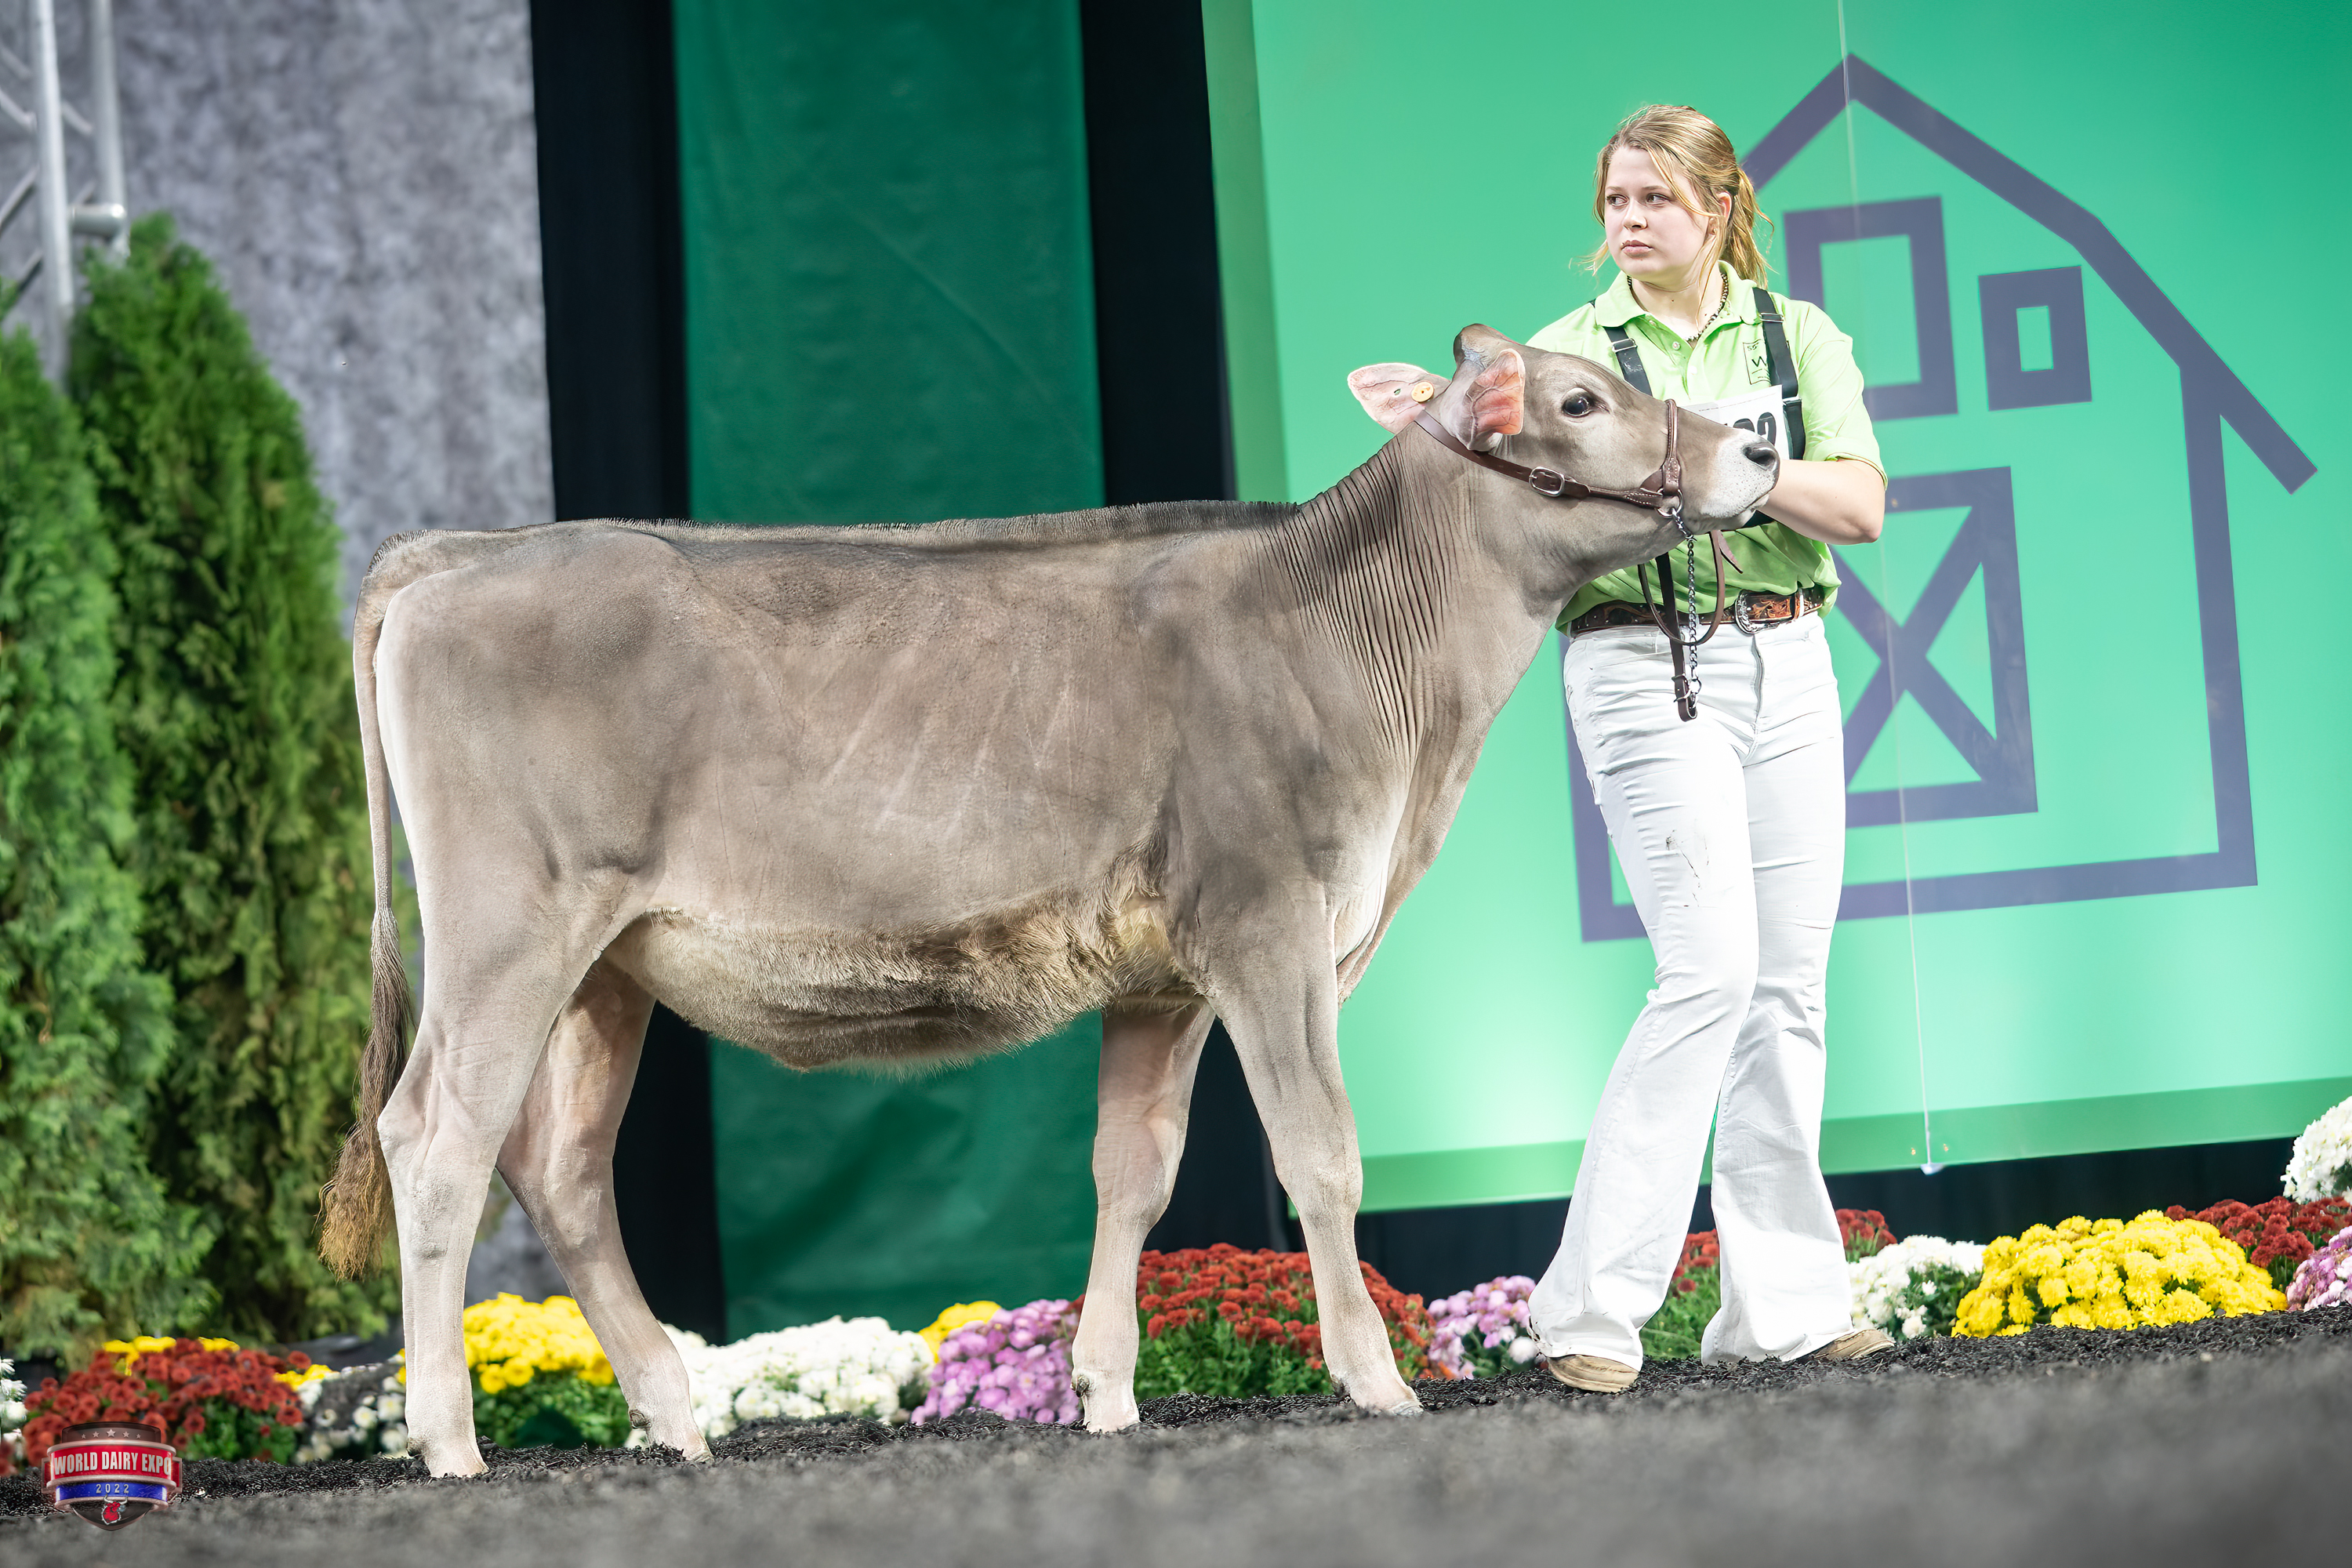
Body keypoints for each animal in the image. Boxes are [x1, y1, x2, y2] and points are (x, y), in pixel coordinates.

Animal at [318, 326, 1779, 1476]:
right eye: (1581, 399)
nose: (1760, 447)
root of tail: (463, 554)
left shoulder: (1165, 978)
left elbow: (1134, 1171)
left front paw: (1106, 1392)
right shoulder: (1270, 925)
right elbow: (1321, 1152)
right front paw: (1376, 1382)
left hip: (607, 964)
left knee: (560, 1170)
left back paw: (675, 1417)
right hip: (509, 927)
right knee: (436, 1138)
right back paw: (449, 1442)